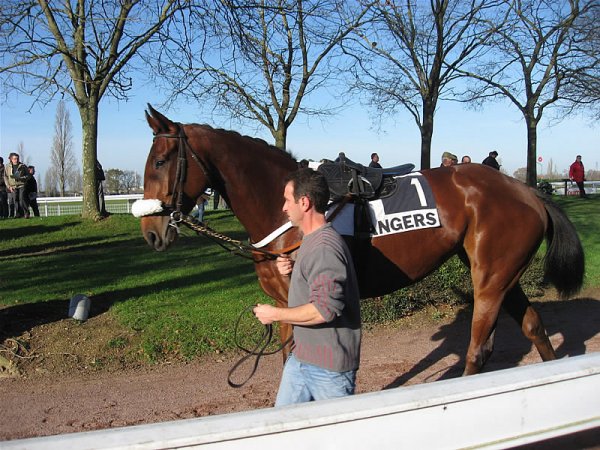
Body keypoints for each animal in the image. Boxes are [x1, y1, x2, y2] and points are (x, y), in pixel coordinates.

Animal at [139, 105, 580, 376]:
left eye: (160, 161)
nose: (151, 232)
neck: (286, 212)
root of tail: (529, 192)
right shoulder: (284, 304)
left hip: (489, 280)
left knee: (478, 348)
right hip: (504, 274)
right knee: (534, 327)